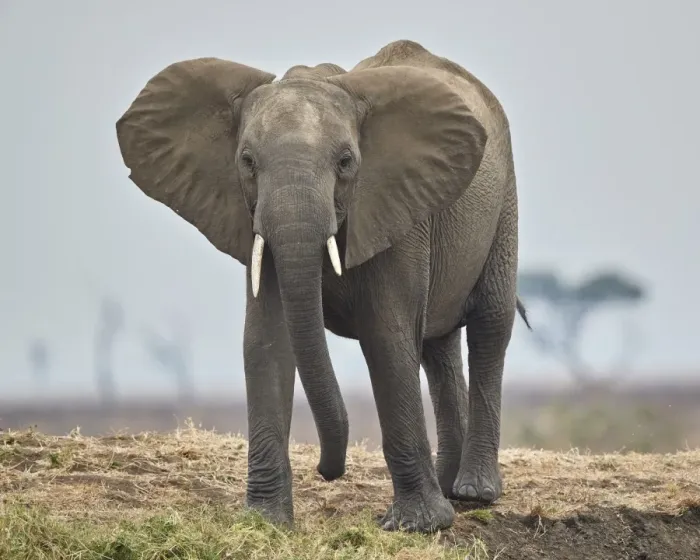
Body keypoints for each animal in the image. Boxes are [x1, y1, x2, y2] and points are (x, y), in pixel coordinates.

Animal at [115, 39, 529, 533]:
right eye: (247, 162)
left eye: (346, 162)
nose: (327, 470)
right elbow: (267, 342)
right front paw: (266, 523)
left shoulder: (397, 209)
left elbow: (388, 339)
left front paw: (417, 525)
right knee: (438, 345)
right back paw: (451, 488)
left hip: (505, 201)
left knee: (489, 327)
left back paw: (474, 493)